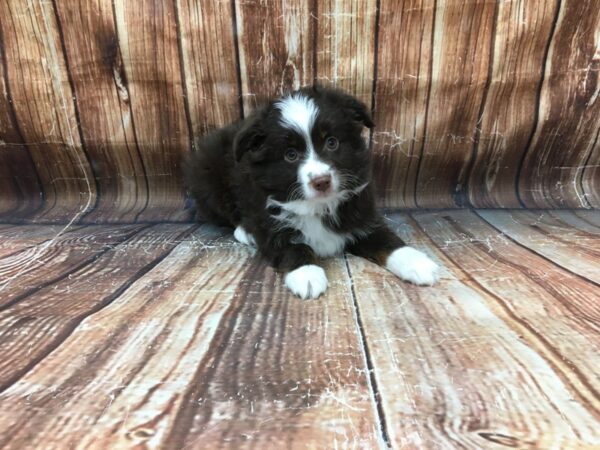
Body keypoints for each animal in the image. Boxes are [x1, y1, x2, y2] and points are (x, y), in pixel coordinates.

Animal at [184, 86, 440, 300]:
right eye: (290, 155)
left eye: (332, 142)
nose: (321, 181)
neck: (317, 205)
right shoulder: (268, 220)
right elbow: (290, 244)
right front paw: (306, 272)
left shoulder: (361, 215)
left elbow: (386, 239)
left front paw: (416, 262)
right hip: (208, 181)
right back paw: (244, 232)